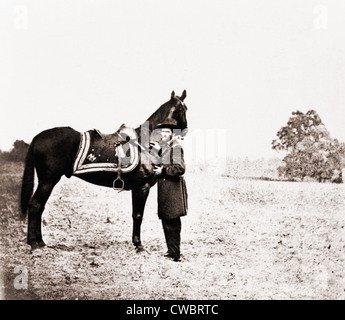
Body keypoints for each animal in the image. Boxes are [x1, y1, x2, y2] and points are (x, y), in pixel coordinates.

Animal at [20, 89, 188, 250]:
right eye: (182, 109)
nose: (185, 131)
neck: (145, 143)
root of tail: (38, 137)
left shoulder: (137, 188)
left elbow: (135, 214)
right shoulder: (142, 187)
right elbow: (138, 215)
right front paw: (138, 244)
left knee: (40, 207)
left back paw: (40, 242)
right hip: (48, 181)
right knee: (35, 205)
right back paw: (34, 244)